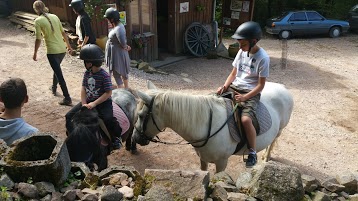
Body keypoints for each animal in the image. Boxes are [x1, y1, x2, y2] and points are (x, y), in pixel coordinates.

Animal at [133, 81, 292, 172]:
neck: (205, 124)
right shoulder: (203, 159)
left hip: (280, 130)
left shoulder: (222, 163)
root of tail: (283, 87)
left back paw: (265, 158)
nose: (134, 138)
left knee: (272, 141)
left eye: (140, 115)